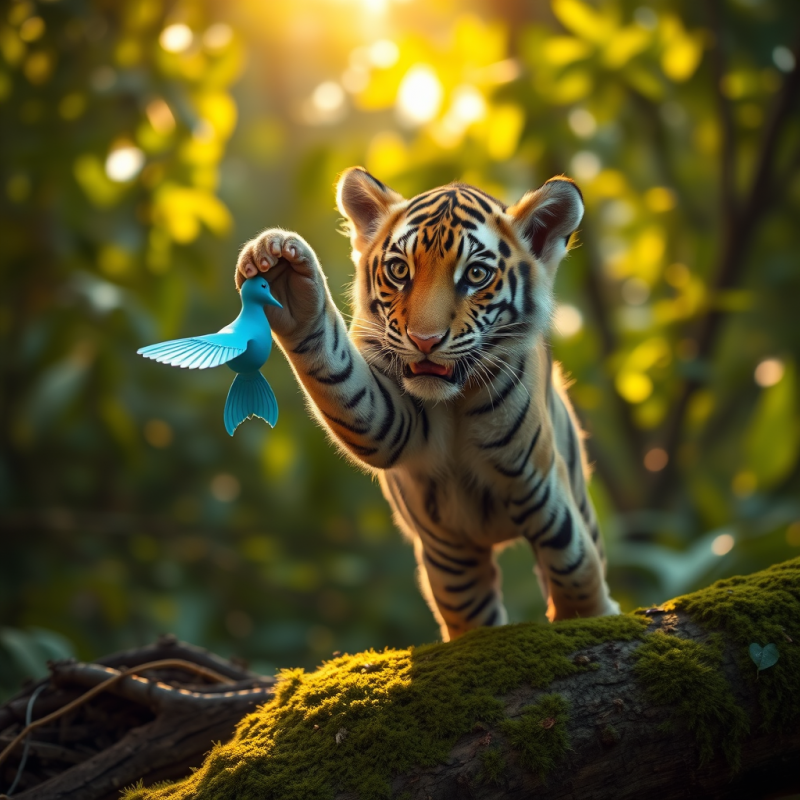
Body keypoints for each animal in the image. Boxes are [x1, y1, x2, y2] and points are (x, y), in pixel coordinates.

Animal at [235, 167, 619, 641]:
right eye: (400, 270)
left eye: (476, 275)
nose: (424, 341)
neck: (453, 402)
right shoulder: (388, 418)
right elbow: (337, 373)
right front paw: (284, 275)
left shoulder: (538, 479)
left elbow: (569, 553)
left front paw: (593, 614)